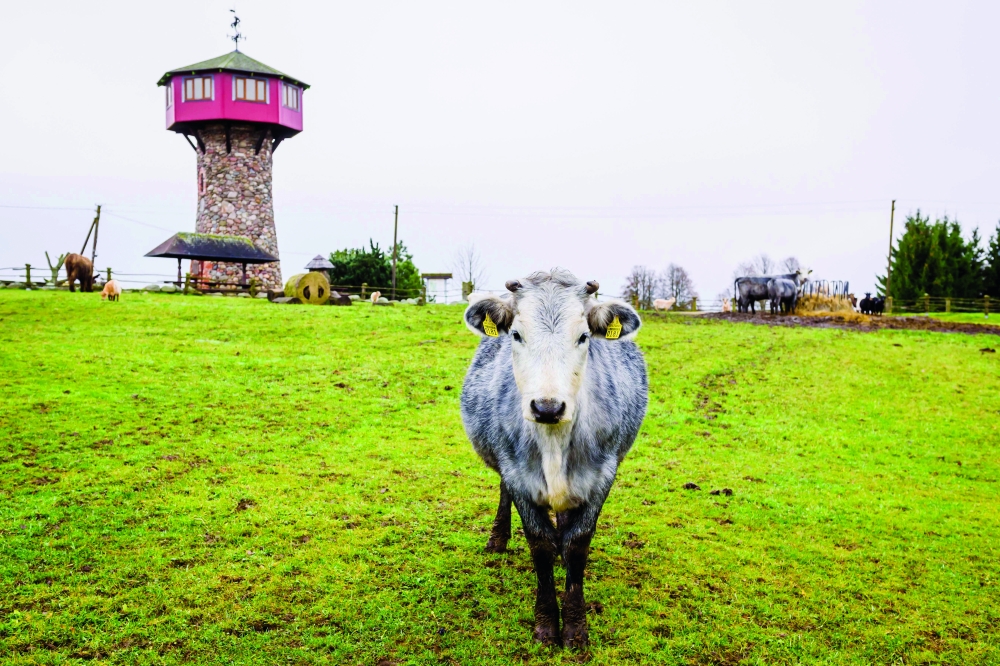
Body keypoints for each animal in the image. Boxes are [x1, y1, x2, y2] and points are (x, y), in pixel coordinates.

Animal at [460, 269, 648, 649]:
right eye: (516, 334)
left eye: (584, 336)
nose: (547, 407)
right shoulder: (517, 473)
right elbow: (540, 544)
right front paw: (546, 626)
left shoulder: (602, 475)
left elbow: (577, 543)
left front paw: (576, 629)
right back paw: (497, 539)